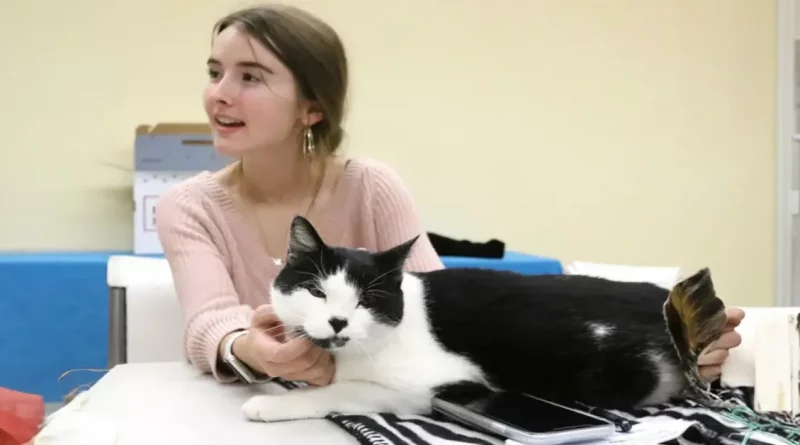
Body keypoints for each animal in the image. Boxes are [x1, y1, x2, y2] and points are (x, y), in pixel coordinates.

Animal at [241, 217, 728, 422]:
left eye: (366, 301)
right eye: (318, 292)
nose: (339, 322)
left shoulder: (435, 386)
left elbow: (345, 392)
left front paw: (270, 404)